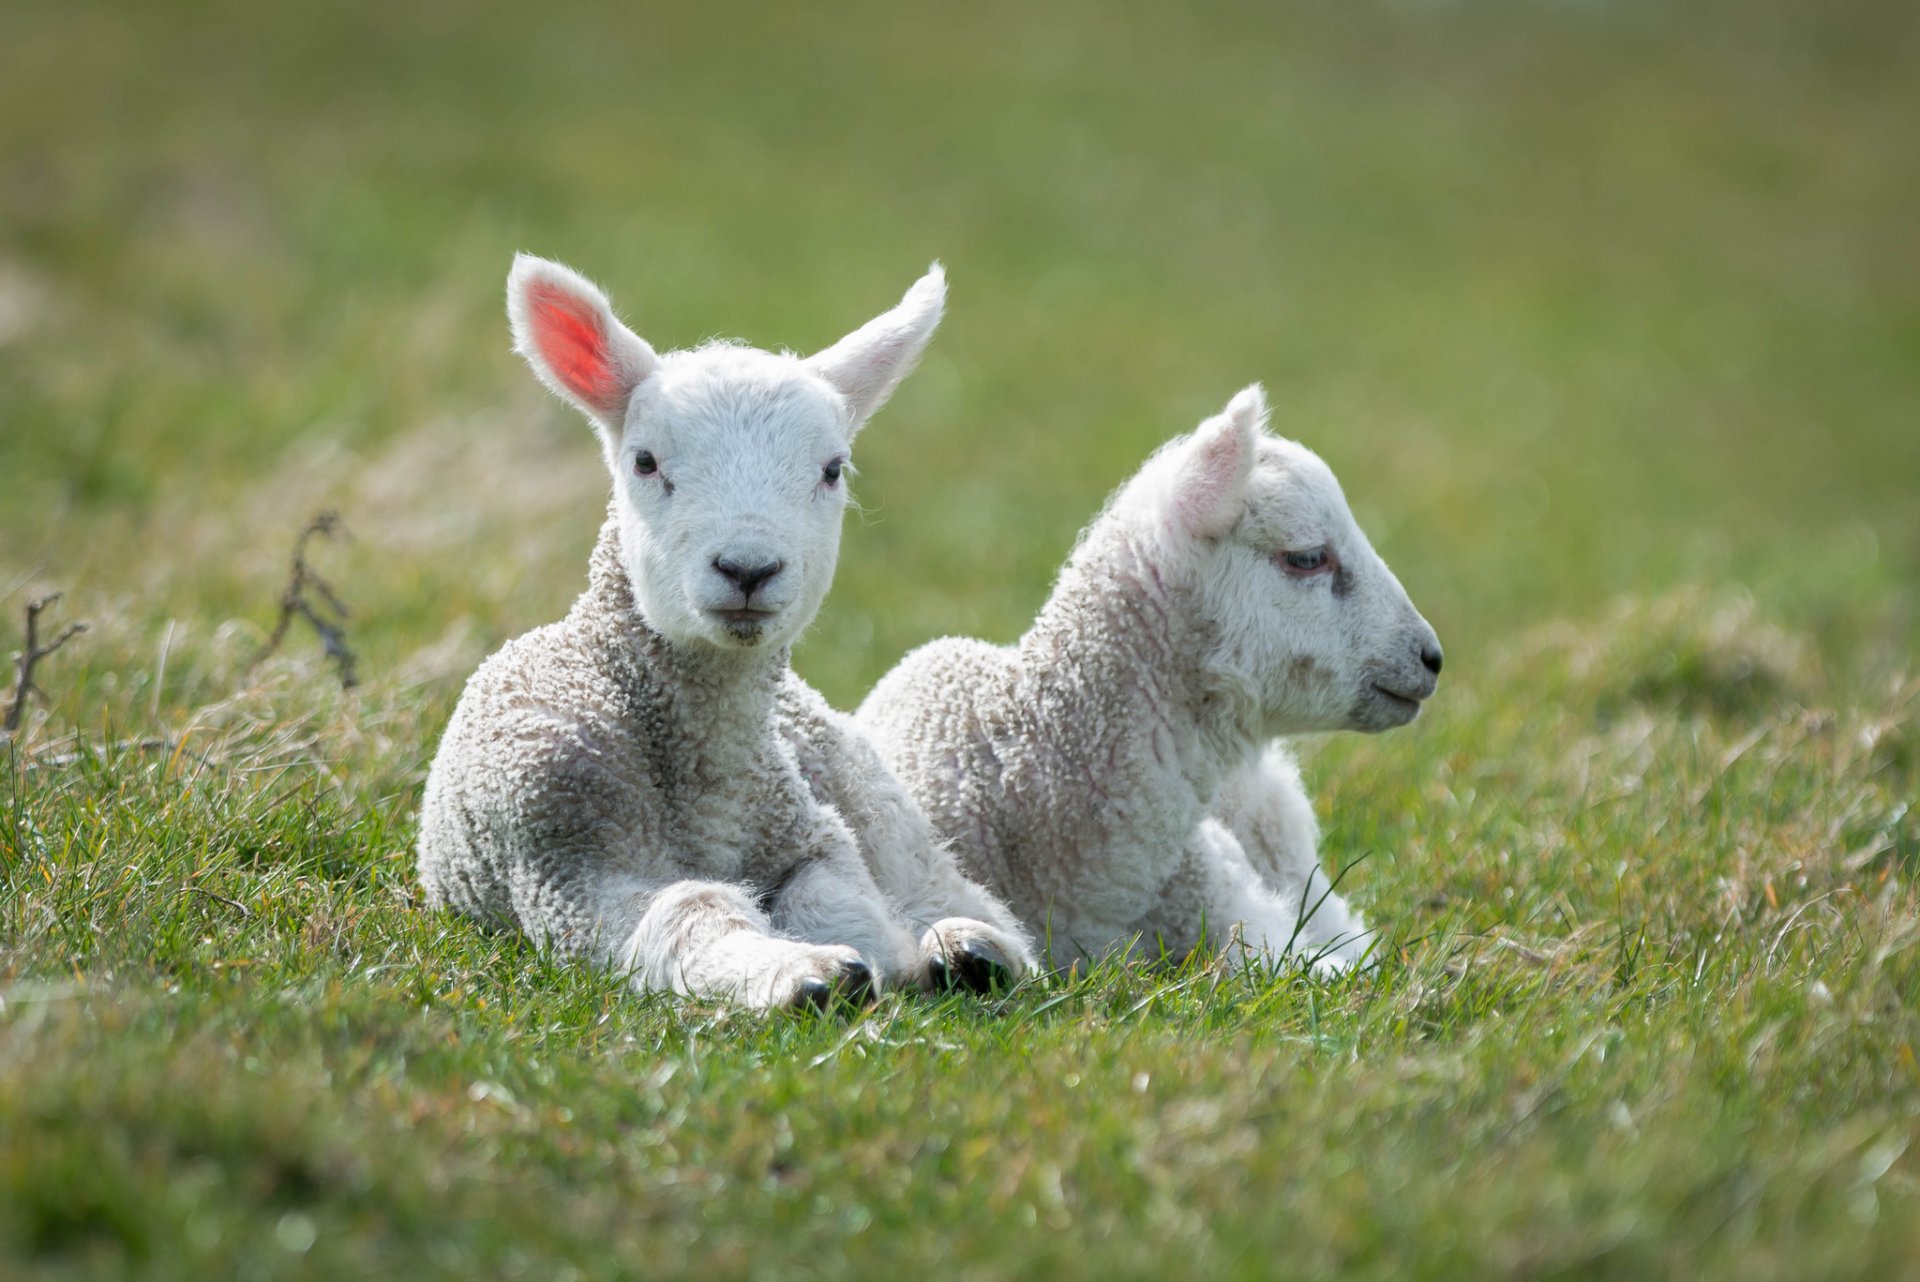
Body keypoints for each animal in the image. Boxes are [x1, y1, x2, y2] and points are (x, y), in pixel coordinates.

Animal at [418, 254, 1033, 1010]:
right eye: (645, 462)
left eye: (832, 470)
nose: (748, 568)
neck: (707, 790)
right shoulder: (567, 865)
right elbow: (692, 908)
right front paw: (801, 974)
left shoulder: (811, 832)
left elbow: (836, 898)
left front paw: (887, 960)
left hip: (872, 798)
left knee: (944, 887)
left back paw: (975, 947)